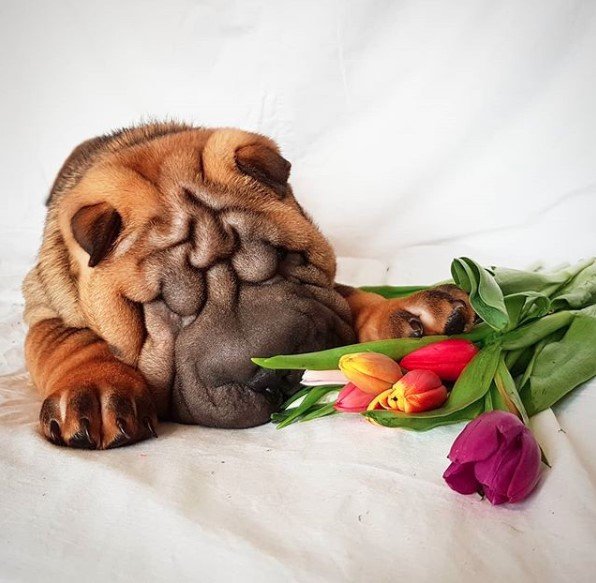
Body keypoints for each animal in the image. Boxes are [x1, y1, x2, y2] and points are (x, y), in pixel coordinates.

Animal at [23, 122, 474, 452]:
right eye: (167, 307)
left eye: (283, 258)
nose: (273, 373)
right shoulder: (42, 307)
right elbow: (69, 339)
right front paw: (96, 392)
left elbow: (349, 296)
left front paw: (411, 314)